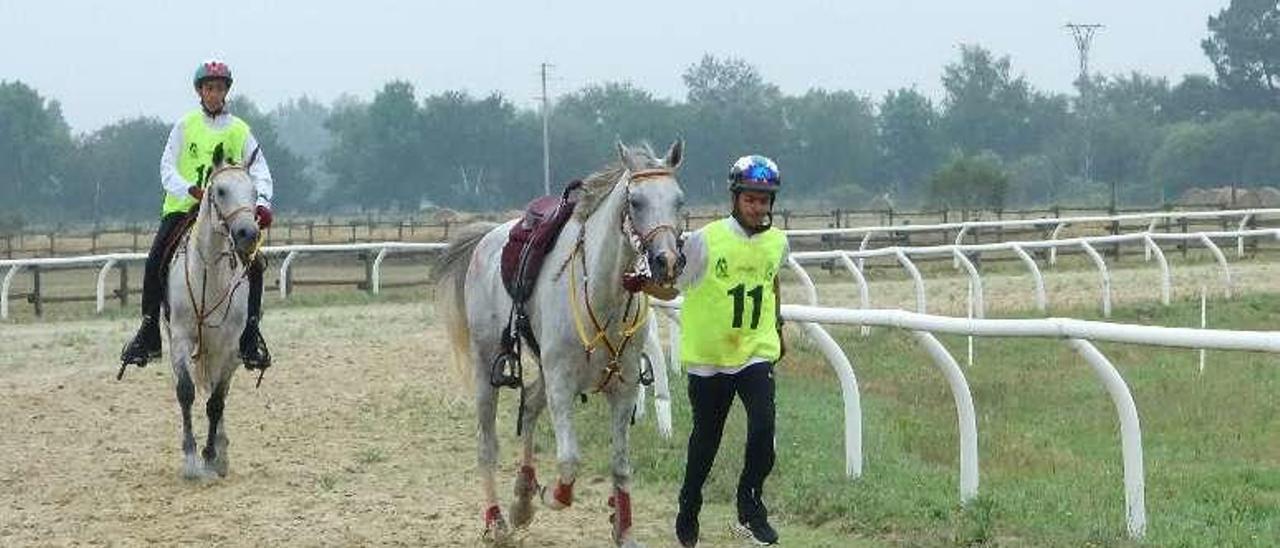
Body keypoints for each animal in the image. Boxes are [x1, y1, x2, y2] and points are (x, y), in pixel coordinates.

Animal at [165, 149, 259, 478]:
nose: (247, 234)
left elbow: (216, 402)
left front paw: (210, 456)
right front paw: (191, 458)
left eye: (255, 192)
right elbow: (186, 391)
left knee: (221, 394)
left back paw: (221, 452)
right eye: (220, 190)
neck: (210, 276)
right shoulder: (181, 338)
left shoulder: (230, 346)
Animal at [435, 140, 686, 542]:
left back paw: (522, 496)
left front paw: (622, 525)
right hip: (487, 368)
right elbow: (569, 463)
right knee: (487, 444)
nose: (667, 262)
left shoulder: (625, 388)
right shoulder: (562, 385)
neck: (600, 295)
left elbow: (620, 465)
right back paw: (497, 520)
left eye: (679, 200)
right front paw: (549, 495)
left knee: (529, 404)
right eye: (636, 202)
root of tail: (489, 236)